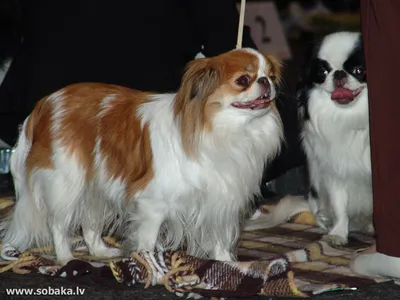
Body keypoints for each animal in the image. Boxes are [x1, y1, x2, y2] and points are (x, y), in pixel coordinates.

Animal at [245, 31, 374, 247]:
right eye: (322, 73)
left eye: (359, 70)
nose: (338, 74)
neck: (350, 117)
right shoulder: (334, 173)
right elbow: (340, 207)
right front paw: (338, 234)